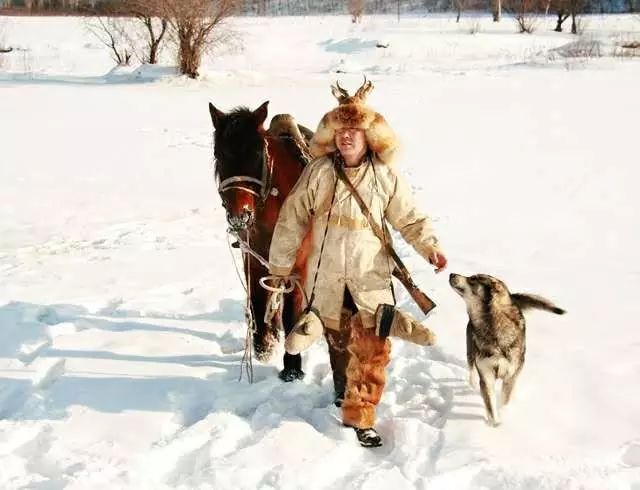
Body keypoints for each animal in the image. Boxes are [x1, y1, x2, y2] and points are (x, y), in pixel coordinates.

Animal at [209, 100, 312, 382]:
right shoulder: (252, 258)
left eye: (257, 155)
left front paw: (292, 366)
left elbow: (291, 313)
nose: (239, 216)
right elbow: (257, 299)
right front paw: (264, 344)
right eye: (219, 155)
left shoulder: (298, 266)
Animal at [448, 274, 564, 426]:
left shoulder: (510, 375)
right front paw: (495, 425)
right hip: (470, 353)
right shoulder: (486, 376)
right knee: (472, 371)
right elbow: (491, 407)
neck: (492, 328)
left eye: (473, 279)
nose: (451, 274)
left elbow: (504, 401)